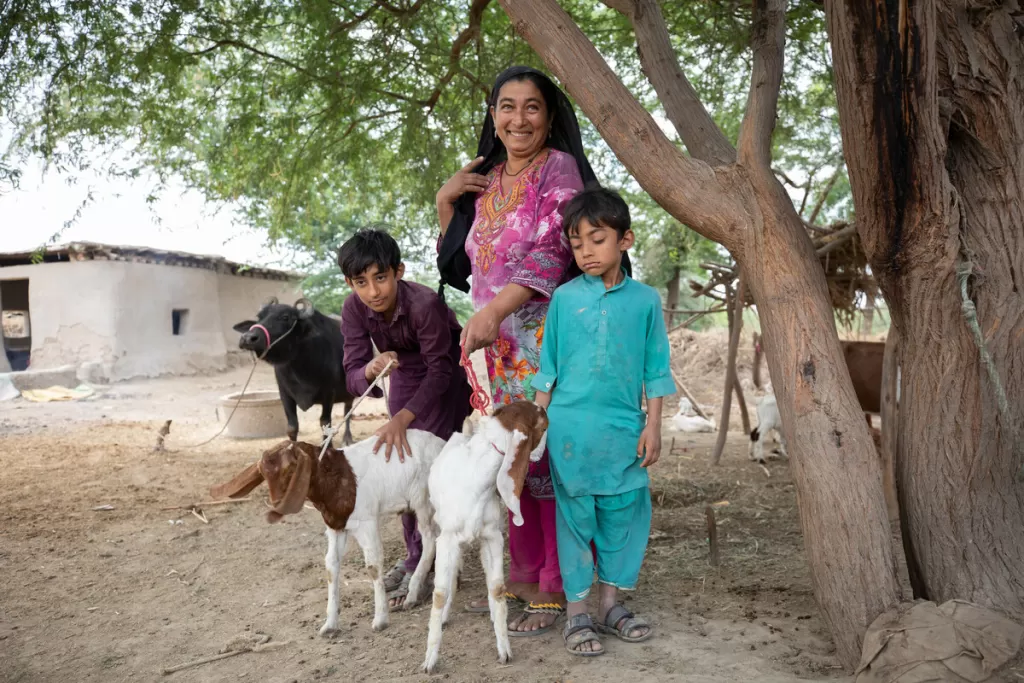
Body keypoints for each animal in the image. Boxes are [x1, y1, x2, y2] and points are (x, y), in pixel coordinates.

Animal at [208, 432, 444, 634]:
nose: (276, 503)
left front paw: (380, 620)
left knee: (430, 539)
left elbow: (373, 565)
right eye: (263, 474)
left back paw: (412, 593)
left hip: (423, 500)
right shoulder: (335, 526)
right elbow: (331, 565)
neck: (334, 479)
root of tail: (441, 442)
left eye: (290, 469)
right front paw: (330, 624)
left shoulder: (367, 522)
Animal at [233, 296, 356, 446]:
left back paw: (347, 438)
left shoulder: (328, 393)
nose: (247, 338)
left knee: (347, 410)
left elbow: (325, 423)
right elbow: (292, 427)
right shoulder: (285, 394)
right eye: (259, 316)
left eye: (285, 317)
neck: (299, 367)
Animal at [419, 401, 548, 671]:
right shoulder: (446, 539)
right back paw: (444, 616)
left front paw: (504, 650)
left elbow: (497, 588)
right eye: (543, 426)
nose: (543, 453)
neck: (475, 480)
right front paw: (430, 660)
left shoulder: (492, 537)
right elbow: (439, 594)